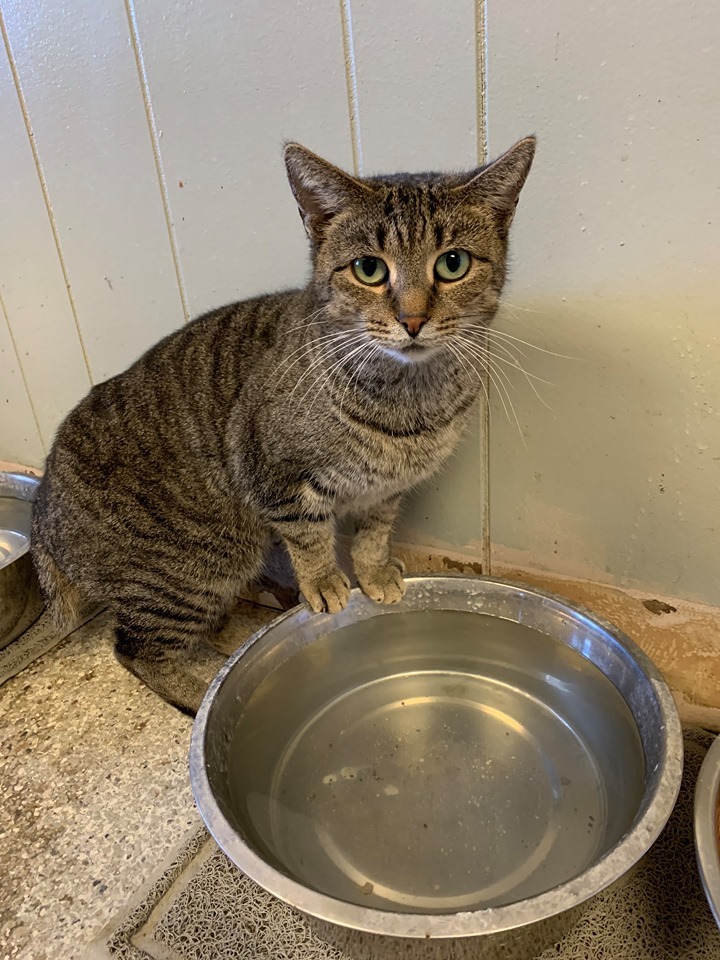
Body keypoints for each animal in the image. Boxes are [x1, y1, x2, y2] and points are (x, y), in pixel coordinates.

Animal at [29, 139, 536, 716]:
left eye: (453, 263)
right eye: (369, 269)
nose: (412, 320)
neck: (410, 398)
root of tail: (42, 511)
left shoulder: (386, 490)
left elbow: (374, 533)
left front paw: (374, 572)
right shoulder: (272, 477)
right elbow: (309, 536)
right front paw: (324, 583)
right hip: (195, 563)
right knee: (136, 649)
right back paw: (204, 692)